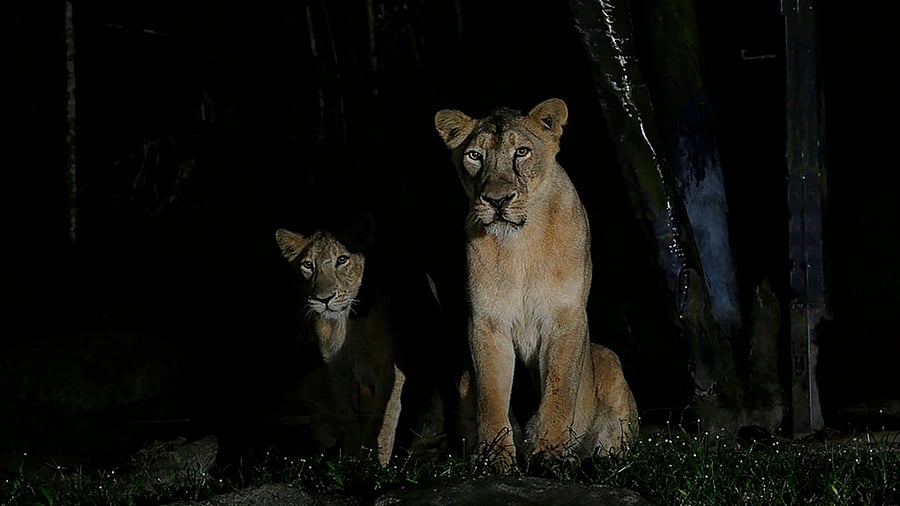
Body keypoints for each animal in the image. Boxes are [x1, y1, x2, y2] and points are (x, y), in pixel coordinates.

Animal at [275, 224, 404, 466]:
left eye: (342, 259)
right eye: (308, 264)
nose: (324, 299)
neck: (347, 321)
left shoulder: (389, 366)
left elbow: (385, 415)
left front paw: (377, 463)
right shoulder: (336, 369)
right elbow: (347, 416)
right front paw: (353, 459)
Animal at [434, 98, 639, 467]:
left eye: (522, 152)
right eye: (474, 155)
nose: (497, 200)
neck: (519, 244)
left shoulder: (566, 317)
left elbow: (559, 391)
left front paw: (551, 452)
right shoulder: (487, 323)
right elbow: (491, 397)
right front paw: (494, 458)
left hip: (608, 358)